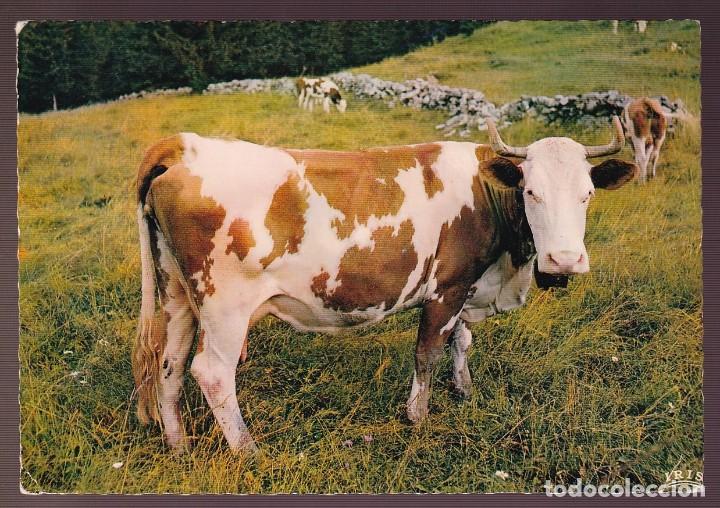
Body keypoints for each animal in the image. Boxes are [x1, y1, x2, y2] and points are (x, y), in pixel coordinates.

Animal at [132, 117, 637, 453]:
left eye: (587, 194)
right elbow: (428, 352)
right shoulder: (447, 286)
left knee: (171, 363)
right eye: (531, 191)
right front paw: (418, 417)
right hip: (225, 306)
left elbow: (462, 341)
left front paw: (464, 390)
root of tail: (185, 145)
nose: (564, 260)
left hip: (178, 293)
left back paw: (178, 445)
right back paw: (249, 452)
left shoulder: (468, 285)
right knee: (212, 373)